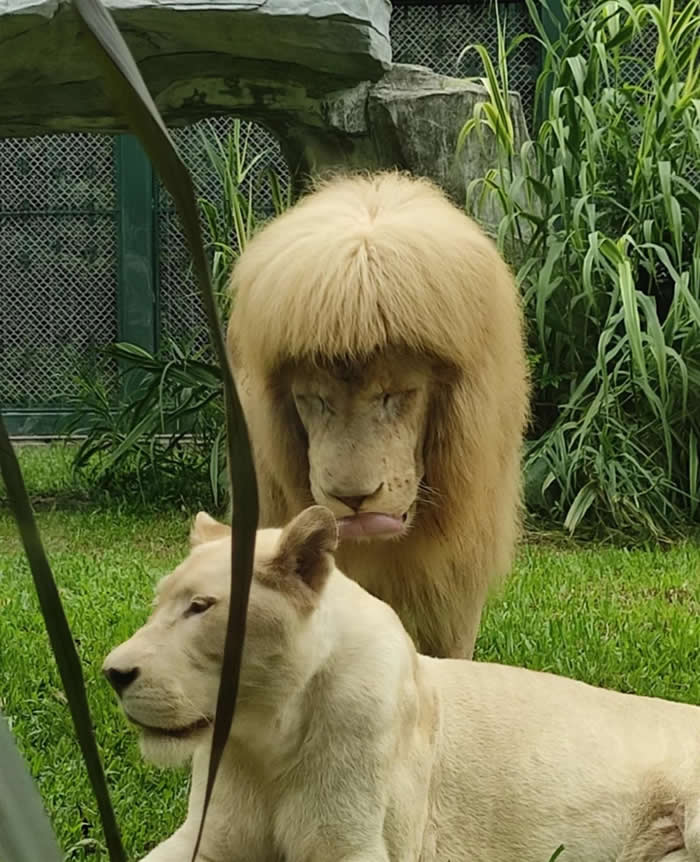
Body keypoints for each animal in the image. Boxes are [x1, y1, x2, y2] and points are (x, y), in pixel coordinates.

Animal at [104, 510, 700, 860]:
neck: (266, 738)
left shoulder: (358, 848)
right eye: (159, 601)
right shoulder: (207, 838)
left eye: (200, 606)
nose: (113, 673)